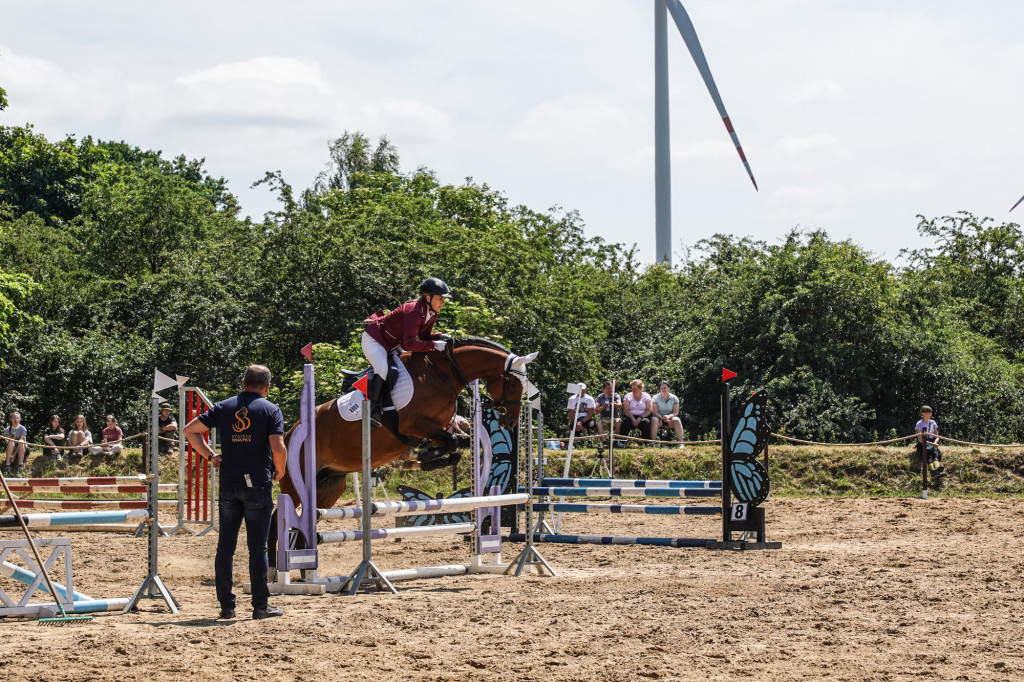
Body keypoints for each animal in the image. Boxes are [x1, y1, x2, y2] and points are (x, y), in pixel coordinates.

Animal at [268, 337, 540, 565]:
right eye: (514, 383)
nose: (510, 423)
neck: (443, 374)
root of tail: (291, 432)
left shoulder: (435, 427)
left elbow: (453, 449)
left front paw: (420, 460)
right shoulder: (414, 424)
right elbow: (451, 443)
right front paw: (420, 459)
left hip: (329, 486)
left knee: (308, 518)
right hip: (297, 482)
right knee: (277, 516)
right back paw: (273, 568)